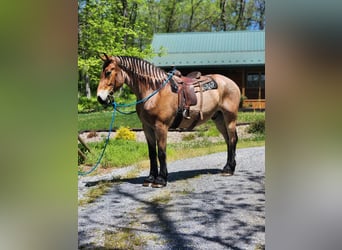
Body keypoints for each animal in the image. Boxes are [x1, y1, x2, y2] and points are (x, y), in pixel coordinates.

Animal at [96, 54, 240, 188]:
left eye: (108, 72)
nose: (100, 98)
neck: (154, 91)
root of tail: (231, 82)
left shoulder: (161, 126)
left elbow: (161, 152)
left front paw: (160, 180)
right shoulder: (147, 127)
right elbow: (152, 153)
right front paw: (150, 178)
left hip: (230, 117)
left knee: (232, 139)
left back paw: (229, 169)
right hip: (219, 118)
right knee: (228, 141)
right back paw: (227, 167)